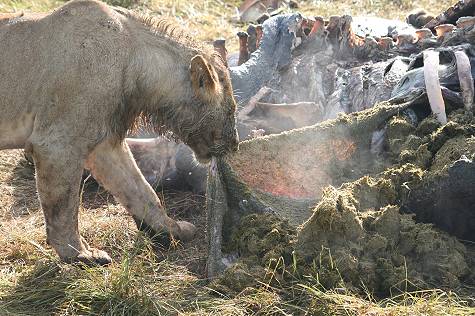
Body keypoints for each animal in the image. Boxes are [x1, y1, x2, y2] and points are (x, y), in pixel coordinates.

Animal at [0, 0, 238, 266]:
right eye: (231, 110)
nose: (235, 144)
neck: (135, 62)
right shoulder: (58, 143)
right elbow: (64, 206)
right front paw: (79, 254)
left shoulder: (105, 145)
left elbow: (140, 189)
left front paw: (170, 231)